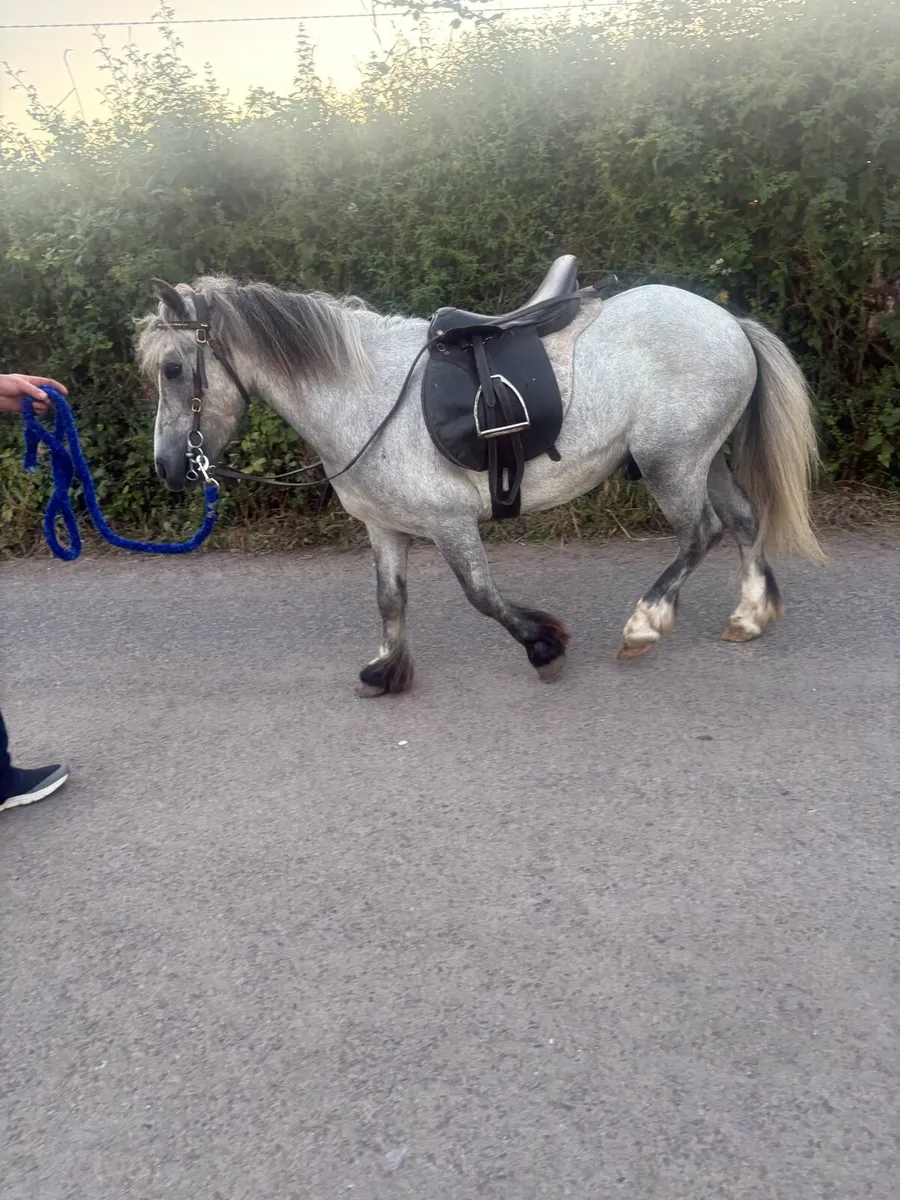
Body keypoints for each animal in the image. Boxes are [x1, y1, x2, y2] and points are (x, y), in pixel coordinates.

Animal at [138, 272, 823, 696]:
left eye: (172, 368)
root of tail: (727, 320)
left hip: (670, 464)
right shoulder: (385, 527)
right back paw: (750, 615)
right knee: (743, 522)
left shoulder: (449, 523)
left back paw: (645, 625)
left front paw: (544, 645)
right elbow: (390, 601)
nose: (169, 468)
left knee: (701, 534)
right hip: (703, 458)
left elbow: (483, 596)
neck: (365, 394)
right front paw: (387, 670)